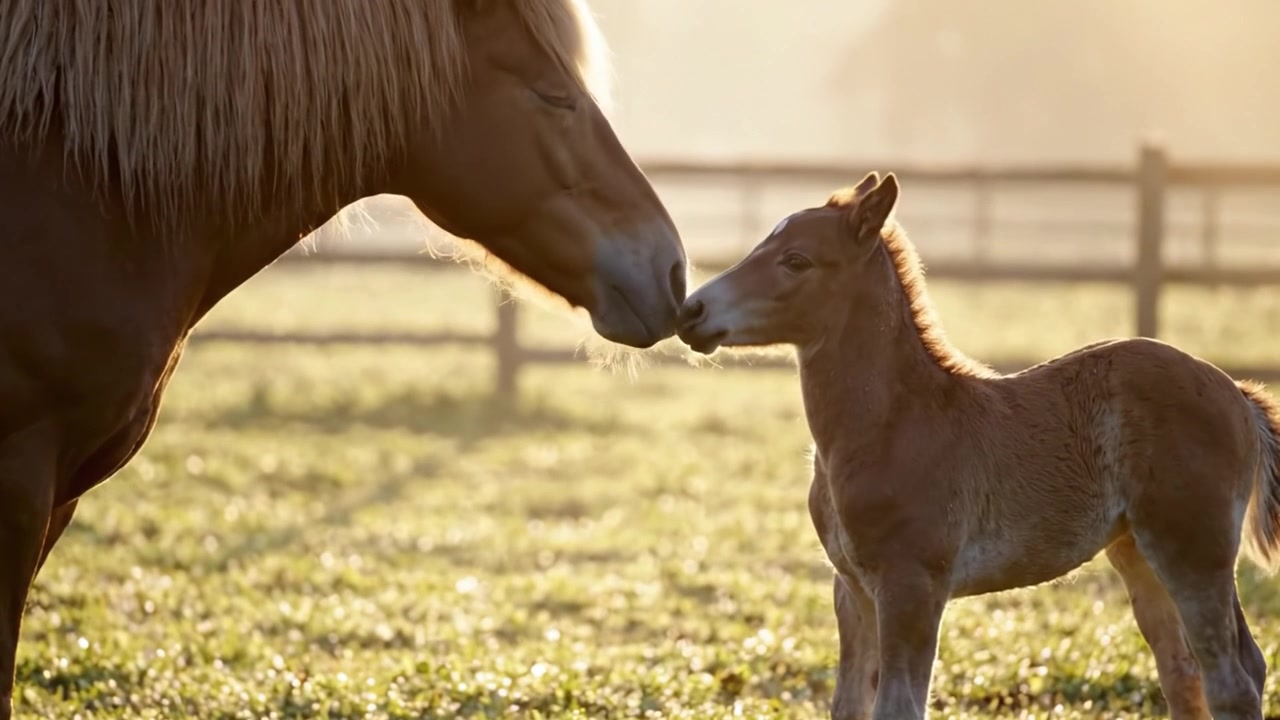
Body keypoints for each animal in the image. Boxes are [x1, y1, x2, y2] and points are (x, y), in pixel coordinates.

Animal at [676, 172, 1280, 720]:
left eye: (797, 260)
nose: (691, 311)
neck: (891, 425)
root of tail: (1236, 392)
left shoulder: (912, 585)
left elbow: (898, 708)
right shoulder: (852, 589)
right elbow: (849, 706)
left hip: (1192, 547)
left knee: (1232, 679)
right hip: (1138, 550)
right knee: (1193, 671)